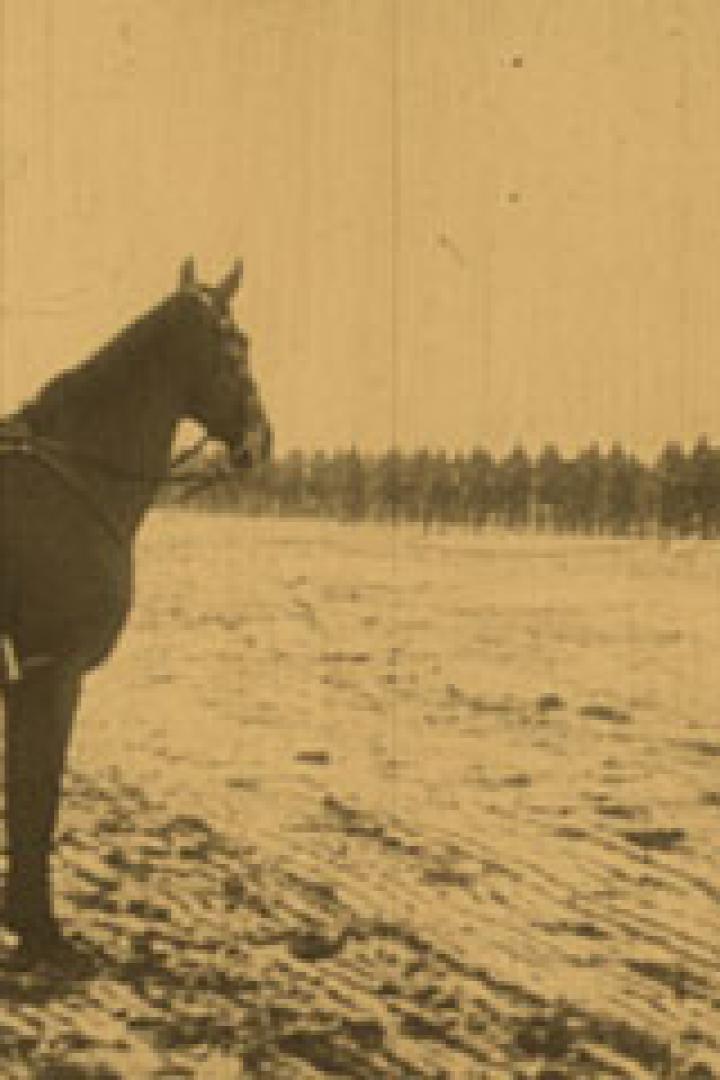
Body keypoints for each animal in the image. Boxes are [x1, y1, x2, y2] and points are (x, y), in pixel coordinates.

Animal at [0, 258, 272, 961]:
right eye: (238, 346)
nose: (260, 442)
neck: (76, 478)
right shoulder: (53, 672)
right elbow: (39, 793)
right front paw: (39, 927)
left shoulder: (27, 679)